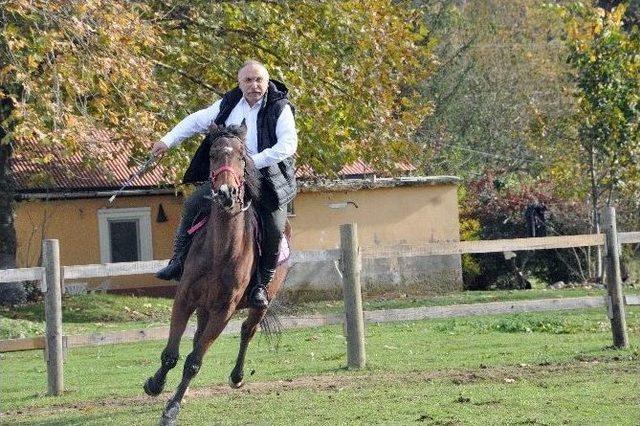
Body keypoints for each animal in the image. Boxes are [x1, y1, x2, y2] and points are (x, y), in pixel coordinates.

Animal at [144, 125, 290, 424]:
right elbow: (171, 354)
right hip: (204, 307)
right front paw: (155, 384)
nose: (225, 192)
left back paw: (237, 377)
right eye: (211, 154)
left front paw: (172, 408)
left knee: (248, 331)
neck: (220, 251)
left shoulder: (224, 310)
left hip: (258, 305)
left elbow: (194, 362)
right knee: (198, 337)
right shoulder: (185, 299)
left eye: (242, 158)